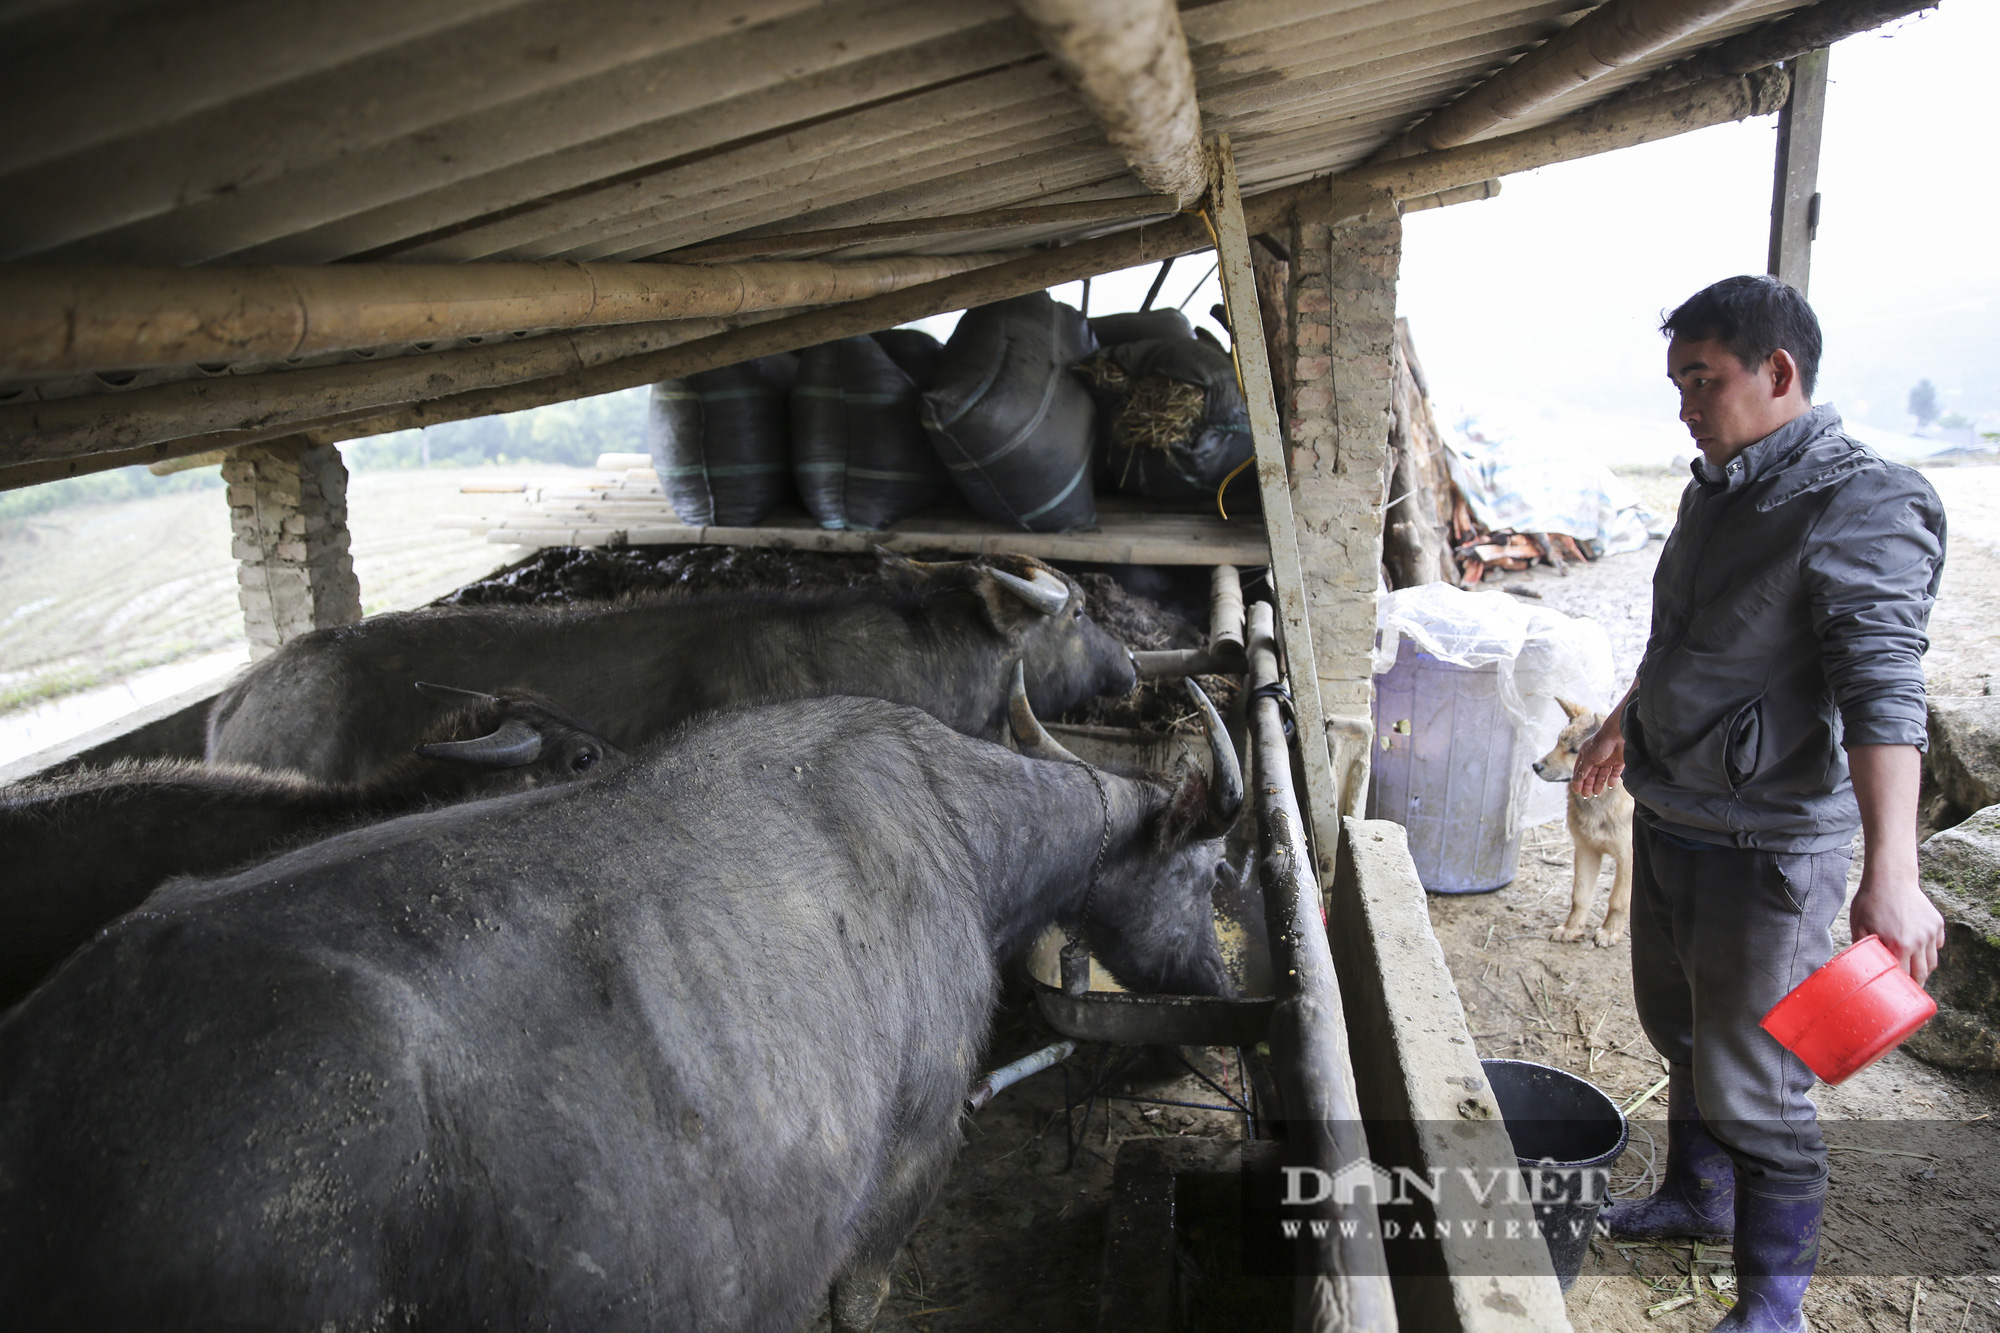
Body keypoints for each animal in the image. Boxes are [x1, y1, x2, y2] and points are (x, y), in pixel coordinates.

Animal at [1536, 696, 1632, 944]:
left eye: (1574, 750)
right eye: (1558, 743)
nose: (1536, 766)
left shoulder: (1628, 860)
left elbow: (1618, 900)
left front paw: (1610, 931)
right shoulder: (1585, 850)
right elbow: (1580, 896)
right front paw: (1572, 928)